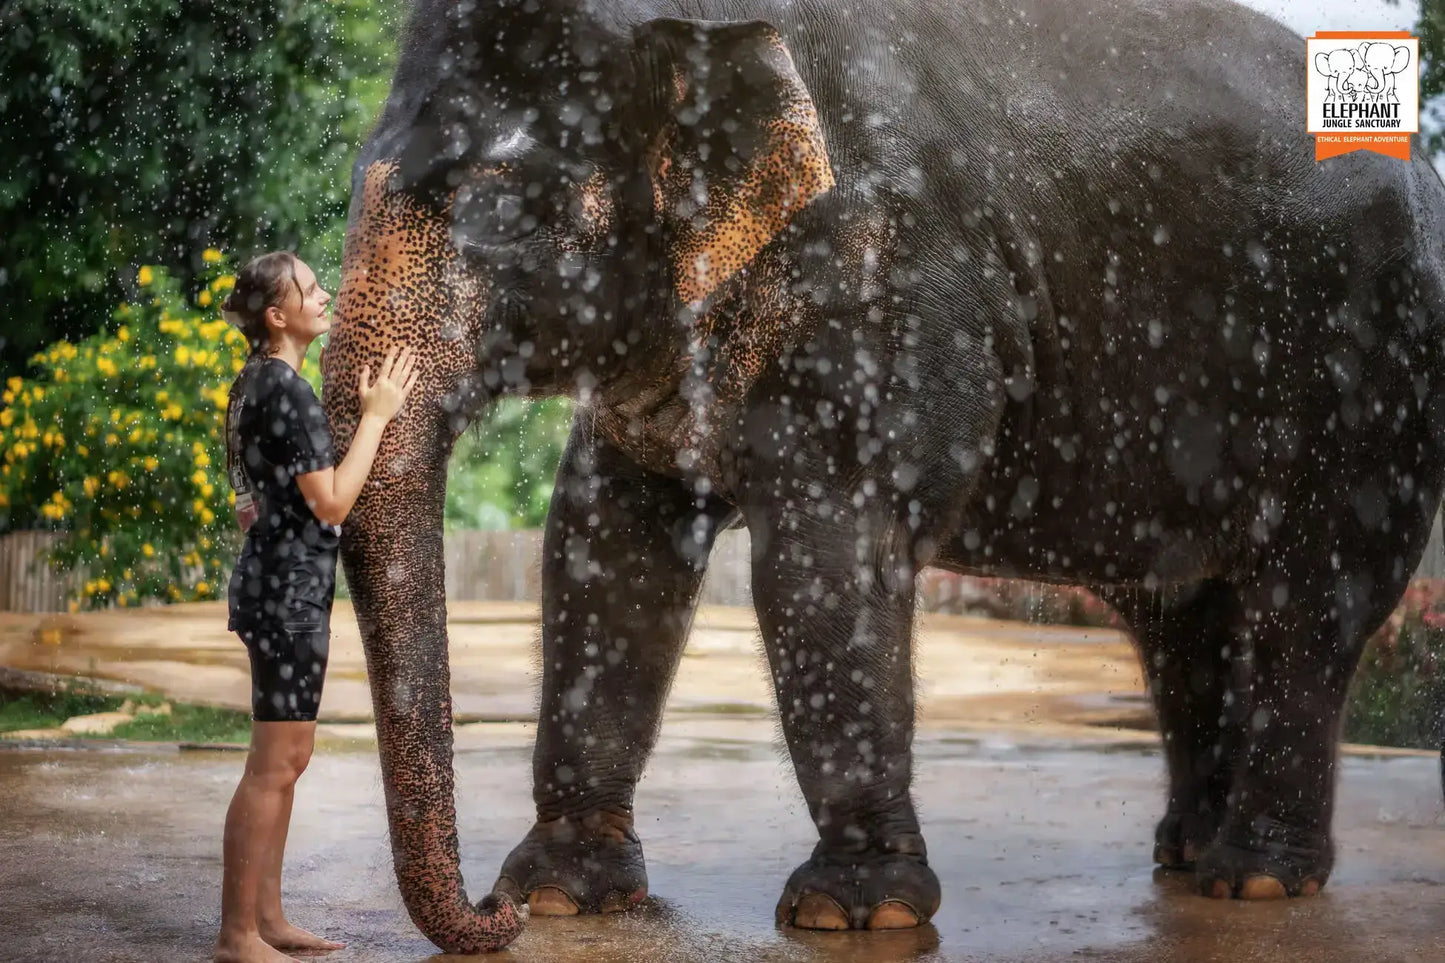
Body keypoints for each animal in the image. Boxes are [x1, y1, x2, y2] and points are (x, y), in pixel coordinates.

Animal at [319, 0, 1445, 951]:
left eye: (504, 209)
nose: (490, 915)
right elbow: (605, 540)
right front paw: (562, 894)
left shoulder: (883, 273)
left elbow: (827, 553)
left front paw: (852, 914)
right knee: (1182, 619)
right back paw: (1185, 858)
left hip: (1372, 385)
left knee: (1307, 604)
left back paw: (1253, 880)